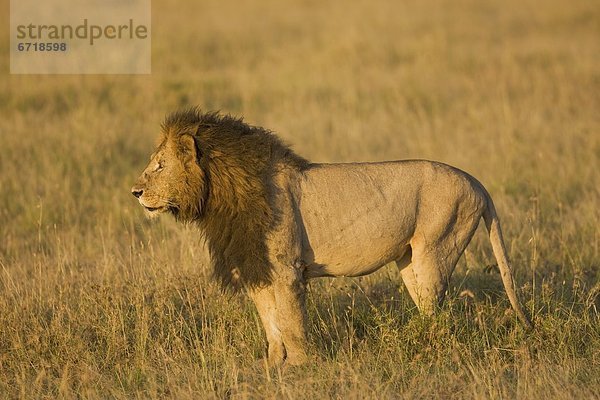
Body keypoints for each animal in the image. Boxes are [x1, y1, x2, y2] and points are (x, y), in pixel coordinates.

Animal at [130, 108, 528, 368]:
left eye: (160, 165)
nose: (135, 192)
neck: (220, 197)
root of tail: (475, 181)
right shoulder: (257, 266)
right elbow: (270, 321)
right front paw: (271, 366)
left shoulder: (286, 270)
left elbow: (291, 322)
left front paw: (301, 367)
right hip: (410, 261)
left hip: (436, 249)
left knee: (438, 313)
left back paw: (425, 350)